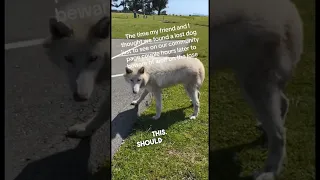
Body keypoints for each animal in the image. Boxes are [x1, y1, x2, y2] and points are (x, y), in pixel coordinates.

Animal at [211, 0, 304, 179]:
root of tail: (291, 13)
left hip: (254, 84)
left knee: (279, 134)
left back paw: (269, 172)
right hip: (253, 83)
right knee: (284, 104)